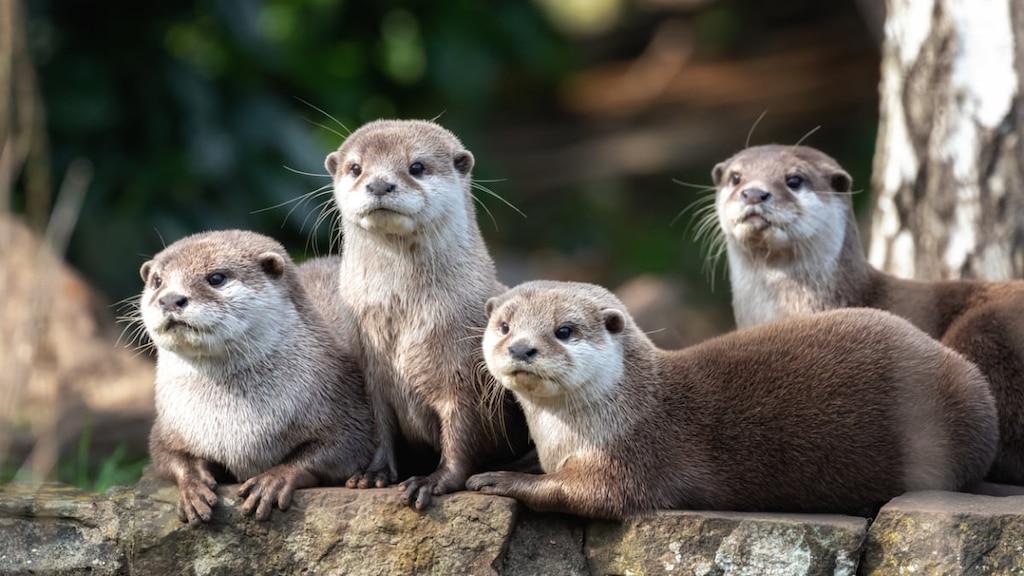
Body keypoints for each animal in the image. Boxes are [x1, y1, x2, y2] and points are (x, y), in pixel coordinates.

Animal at [139, 229, 372, 524]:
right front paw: (192, 487)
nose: (170, 299)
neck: (235, 424)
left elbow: (344, 447)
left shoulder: (344, 402)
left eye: (216, 278)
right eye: (157, 281)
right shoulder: (170, 424)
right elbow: (166, 454)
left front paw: (274, 479)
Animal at [325, 117, 536, 506]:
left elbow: (462, 434)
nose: (379, 184)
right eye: (356, 168)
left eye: (417, 167)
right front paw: (374, 473)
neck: (404, 320)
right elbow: (380, 427)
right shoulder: (371, 371)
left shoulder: (464, 376)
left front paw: (434, 480)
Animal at [468, 280, 995, 518]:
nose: (521, 348)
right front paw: (516, 463)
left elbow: (590, 495)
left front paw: (499, 479)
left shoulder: (635, 455)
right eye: (504, 326)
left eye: (564, 330)